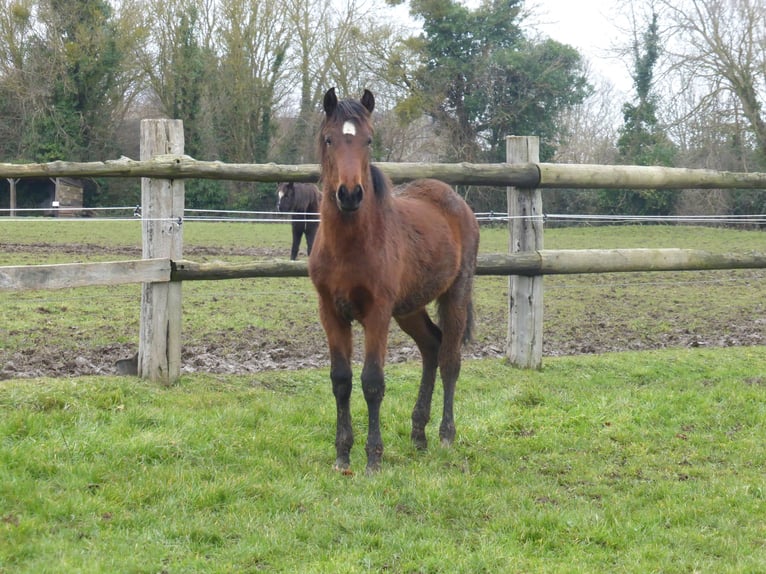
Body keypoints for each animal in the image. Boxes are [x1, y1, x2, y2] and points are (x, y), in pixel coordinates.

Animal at [308, 89, 480, 472]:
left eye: (369, 140)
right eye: (328, 139)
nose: (350, 194)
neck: (350, 247)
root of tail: (456, 199)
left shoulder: (377, 313)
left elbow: (372, 382)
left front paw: (373, 458)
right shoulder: (331, 312)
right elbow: (341, 380)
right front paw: (342, 455)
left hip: (455, 294)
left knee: (450, 358)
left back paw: (445, 435)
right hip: (409, 308)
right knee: (431, 346)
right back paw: (418, 434)